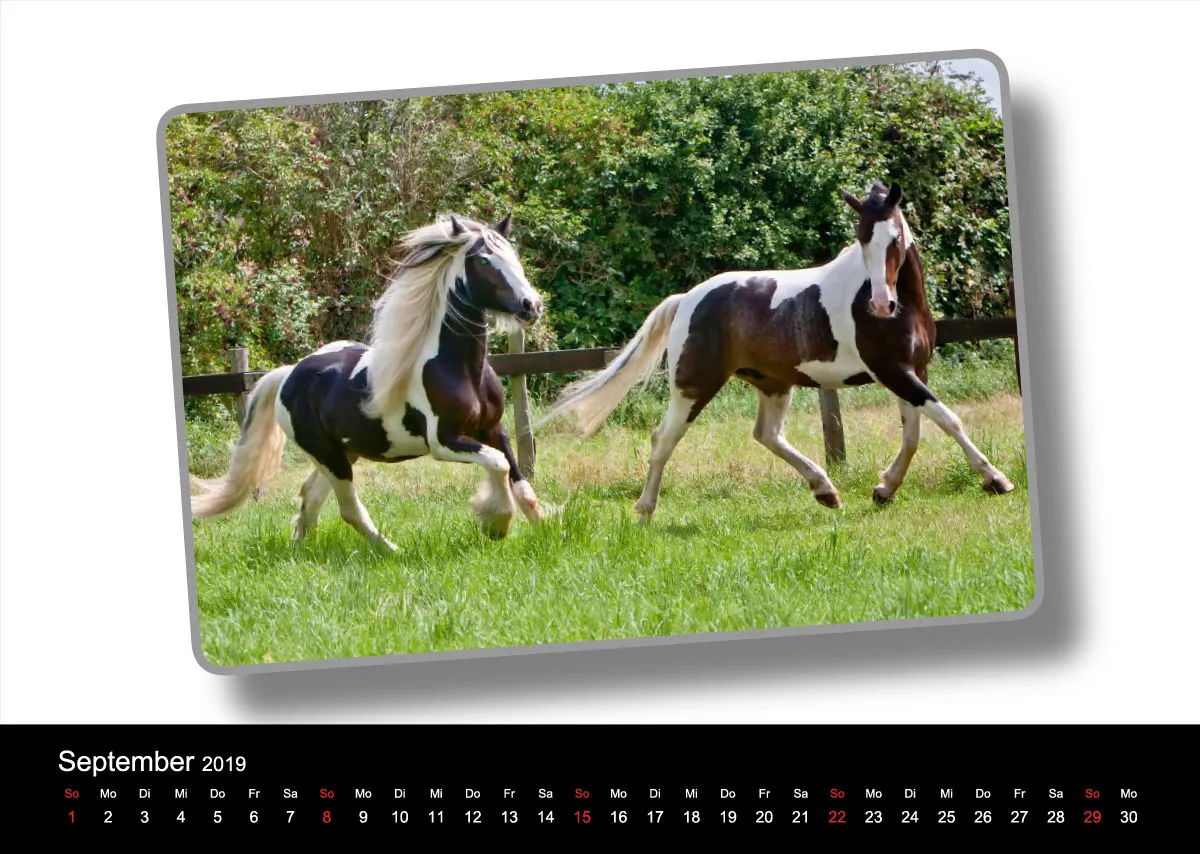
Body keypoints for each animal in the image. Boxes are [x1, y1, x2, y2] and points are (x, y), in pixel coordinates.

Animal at [190, 214, 547, 549]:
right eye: (484, 260)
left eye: (512, 254)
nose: (532, 305)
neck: (458, 369)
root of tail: (288, 375)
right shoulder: (443, 441)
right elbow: (498, 465)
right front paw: (495, 523)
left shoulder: (492, 429)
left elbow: (519, 479)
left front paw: (544, 528)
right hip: (330, 456)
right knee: (348, 508)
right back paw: (391, 550)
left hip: (342, 453)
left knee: (311, 495)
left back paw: (300, 548)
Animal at [542, 181, 1015, 520]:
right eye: (862, 239)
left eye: (894, 237)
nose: (881, 305)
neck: (905, 308)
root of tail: (688, 298)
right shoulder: (893, 371)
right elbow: (949, 420)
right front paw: (996, 480)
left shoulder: (912, 371)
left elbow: (915, 433)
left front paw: (884, 489)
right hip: (694, 386)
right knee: (664, 438)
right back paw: (644, 510)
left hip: (773, 384)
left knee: (766, 434)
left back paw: (826, 491)